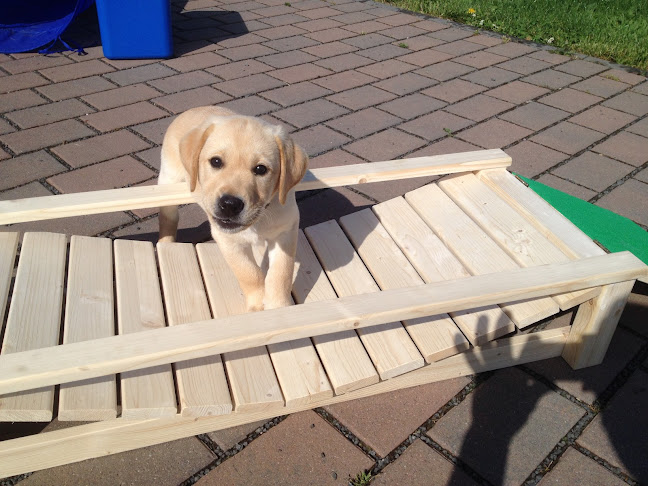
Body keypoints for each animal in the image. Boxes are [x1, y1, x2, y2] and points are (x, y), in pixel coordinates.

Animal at [158, 106, 308, 312]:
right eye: (216, 162)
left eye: (261, 169)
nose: (229, 205)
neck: (258, 220)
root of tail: (192, 109)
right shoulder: (227, 240)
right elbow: (249, 273)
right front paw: (257, 305)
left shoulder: (286, 230)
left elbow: (281, 272)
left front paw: (279, 305)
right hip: (168, 178)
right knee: (168, 217)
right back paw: (165, 243)